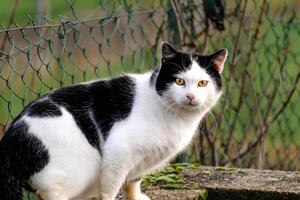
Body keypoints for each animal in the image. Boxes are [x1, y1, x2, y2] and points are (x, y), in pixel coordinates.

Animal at [0, 42, 226, 200]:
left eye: (202, 83)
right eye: (179, 81)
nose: (190, 96)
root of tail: (9, 140)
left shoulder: (139, 162)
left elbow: (133, 181)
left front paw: (135, 196)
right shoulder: (119, 151)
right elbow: (111, 187)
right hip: (72, 171)